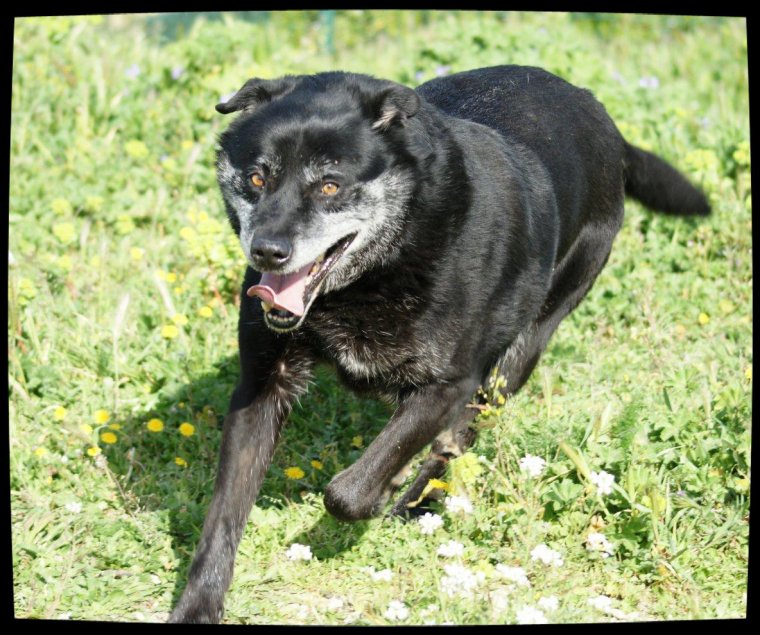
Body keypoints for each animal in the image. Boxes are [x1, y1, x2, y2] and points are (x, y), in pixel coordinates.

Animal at [169, 67, 708, 624]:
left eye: (329, 185)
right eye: (258, 178)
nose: (267, 252)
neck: (379, 268)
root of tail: (606, 122)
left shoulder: (449, 384)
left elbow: (348, 491)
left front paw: (383, 491)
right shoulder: (261, 384)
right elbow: (223, 515)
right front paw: (198, 605)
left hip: (526, 344)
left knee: (466, 428)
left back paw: (417, 499)